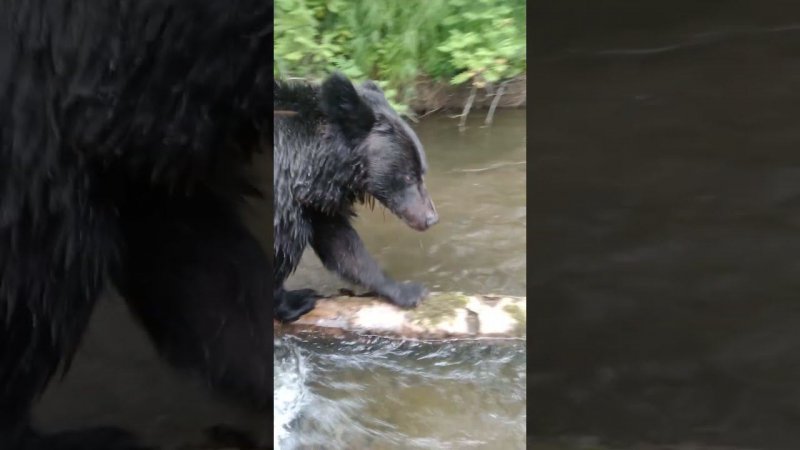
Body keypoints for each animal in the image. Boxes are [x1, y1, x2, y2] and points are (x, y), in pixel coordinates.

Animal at [274, 72, 438, 322]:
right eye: (408, 176)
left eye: (422, 172)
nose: (431, 218)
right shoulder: (283, 198)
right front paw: (296, 301)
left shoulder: (315, 203)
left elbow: (342, 244)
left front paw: (405, 290)